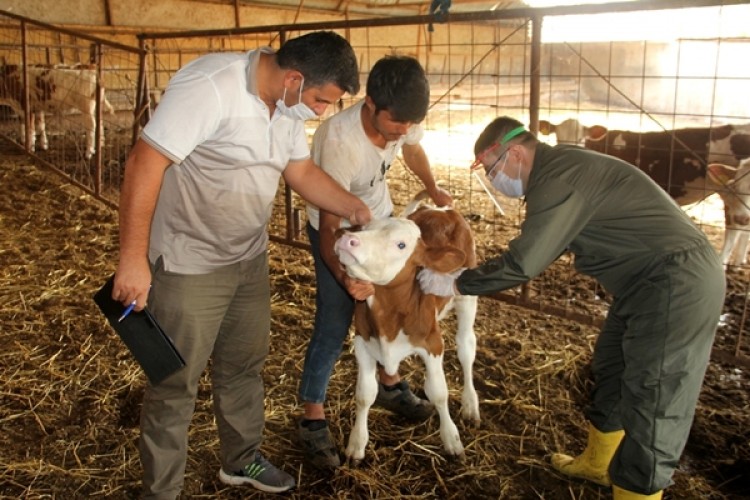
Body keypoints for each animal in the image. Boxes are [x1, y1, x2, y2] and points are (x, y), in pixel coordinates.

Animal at [336, 204, 478, 460]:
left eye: (401, 245)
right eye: (364, 227)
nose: (348, 239)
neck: (389, 316)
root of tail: (442, 208)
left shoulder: (433, 343)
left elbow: (439, 393)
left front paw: (451, 439)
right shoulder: (362, 342)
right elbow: (364, 394)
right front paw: (357, 443)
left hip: (467, 298)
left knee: (466, 348)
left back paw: (471, 404)